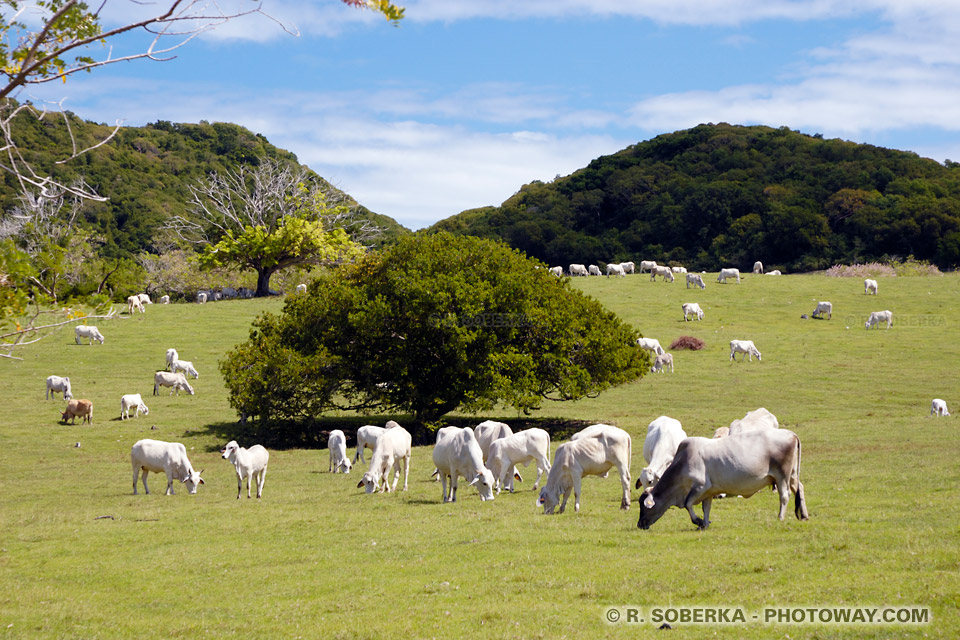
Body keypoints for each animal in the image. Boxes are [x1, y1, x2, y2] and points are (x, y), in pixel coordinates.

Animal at [636, 430, 808, 528]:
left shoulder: (699, 487)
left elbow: (687, 504)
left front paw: (698, 521)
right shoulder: (708, 492)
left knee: (785, 496)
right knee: (799, 488)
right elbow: (706, 508)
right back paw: (804, 515)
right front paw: (705, 523)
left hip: (782, 476)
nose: (639, 524)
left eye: (644, 508)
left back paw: (780, 517)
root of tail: (791, 434)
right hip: (792, 475)